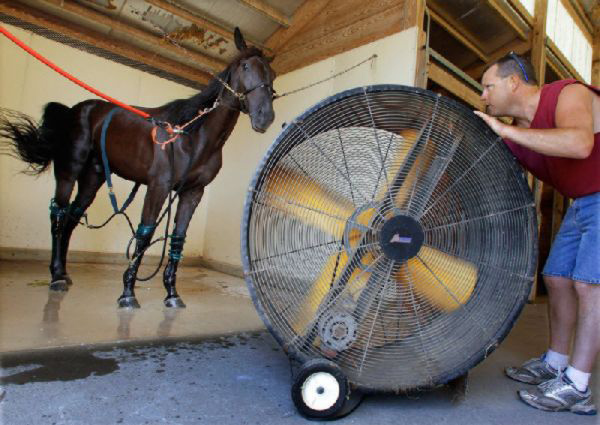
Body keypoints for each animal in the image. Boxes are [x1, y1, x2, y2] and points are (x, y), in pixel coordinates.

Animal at [0, 28, 276, 308]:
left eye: (272, 75)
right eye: (245, 66)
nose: (265, 117)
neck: (191, 136)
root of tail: (74, 111)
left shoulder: (192, 193)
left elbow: (177, 238)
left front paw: (172, 293)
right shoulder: (158, 186)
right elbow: (145, 235)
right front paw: (128, 292)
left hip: (93, 178)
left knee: (72, 218)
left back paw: (64, 273)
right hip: (69, 171)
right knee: (58, 215)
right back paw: (56, 275)